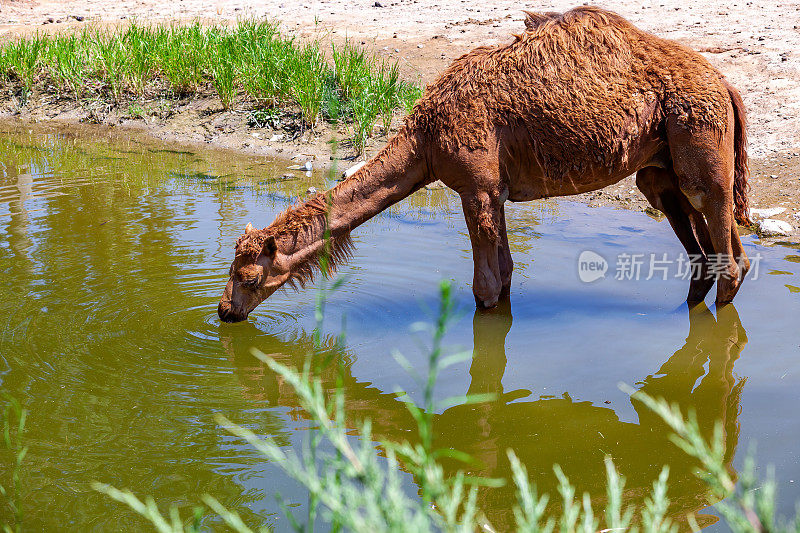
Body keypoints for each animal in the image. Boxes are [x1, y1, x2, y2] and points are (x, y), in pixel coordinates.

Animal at [217, 6, 752, 322]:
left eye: (248, 277)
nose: (224, 311)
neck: (426, 138)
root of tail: (726, 85)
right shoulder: (494, 190)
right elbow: (507, 273)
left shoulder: (475, 185)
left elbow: (486, 286)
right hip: (662, 167)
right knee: (710, 247)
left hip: (698, 137)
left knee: (724, 250)